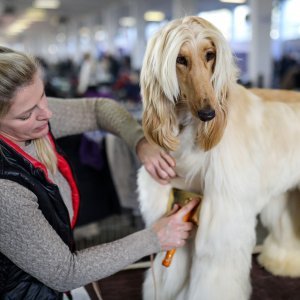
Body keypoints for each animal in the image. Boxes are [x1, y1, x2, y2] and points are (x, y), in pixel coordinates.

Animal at [138, 15, 300, 300]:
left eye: (210, 54)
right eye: (180, 59)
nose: (208, 113)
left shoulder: (223, 207)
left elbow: (215, 262)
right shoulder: (185, 196)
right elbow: (175, 258)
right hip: (287, 191)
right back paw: (285, 261)